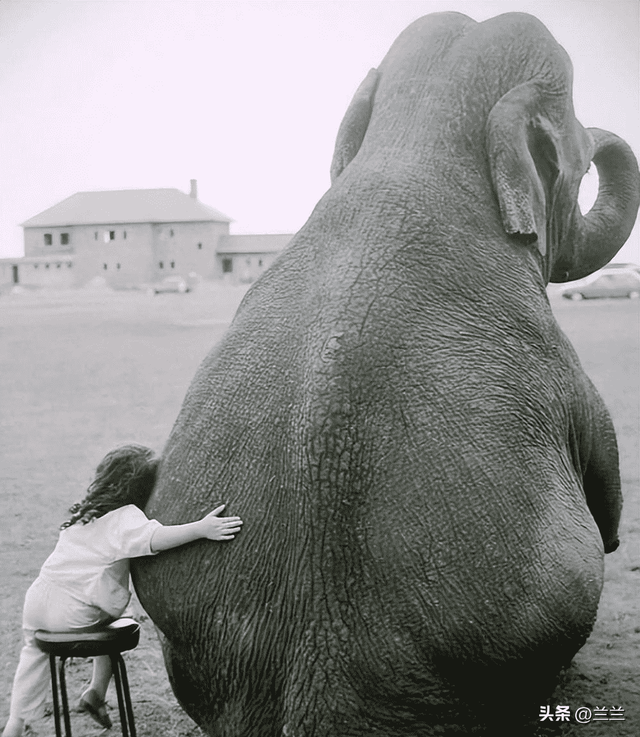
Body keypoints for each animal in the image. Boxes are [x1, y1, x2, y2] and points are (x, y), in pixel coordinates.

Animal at [132, 12, 636, 736]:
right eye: (572, 144)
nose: (604, 139)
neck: (417, 140)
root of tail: (318, 692)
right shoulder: (560, 362)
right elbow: (605, 481)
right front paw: (617, 533)